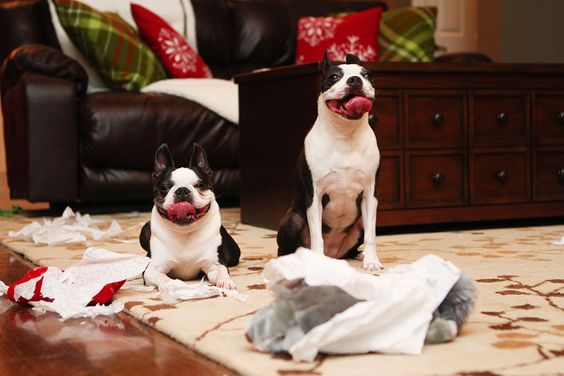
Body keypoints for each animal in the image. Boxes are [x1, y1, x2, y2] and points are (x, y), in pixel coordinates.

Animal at [140, 142, 240, 290]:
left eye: (200, 185)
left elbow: (222, 270)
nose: (182, 190)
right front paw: (172, 285)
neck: (185, 232)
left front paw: (226, 282)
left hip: (234, 253)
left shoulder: (215, 264)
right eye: (164, 187)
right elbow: (162, 277)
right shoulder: (152, 269)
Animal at [276, 52, 382, 270]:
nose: (355, 80)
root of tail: (335, 254)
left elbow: (371, 235)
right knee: (286, 247)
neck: (345, 134)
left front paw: (371, 260)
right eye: (334, 77)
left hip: (359, 222)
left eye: (367, 75)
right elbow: (317, 236)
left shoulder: (370, 195)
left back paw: (358, 255)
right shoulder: (315, 196)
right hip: (293, 220)